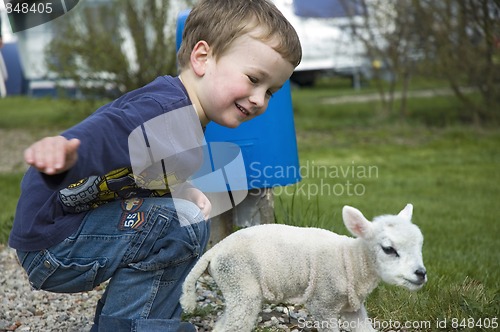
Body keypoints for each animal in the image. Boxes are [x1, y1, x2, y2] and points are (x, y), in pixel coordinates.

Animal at [180, 204, 426, 330]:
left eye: (420, 244)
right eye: (388, 249)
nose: (421, 274)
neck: (352, 260)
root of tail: (215, 250)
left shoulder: (353, 309)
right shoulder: (323, 303)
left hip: (240, 291)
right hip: (239, 282)